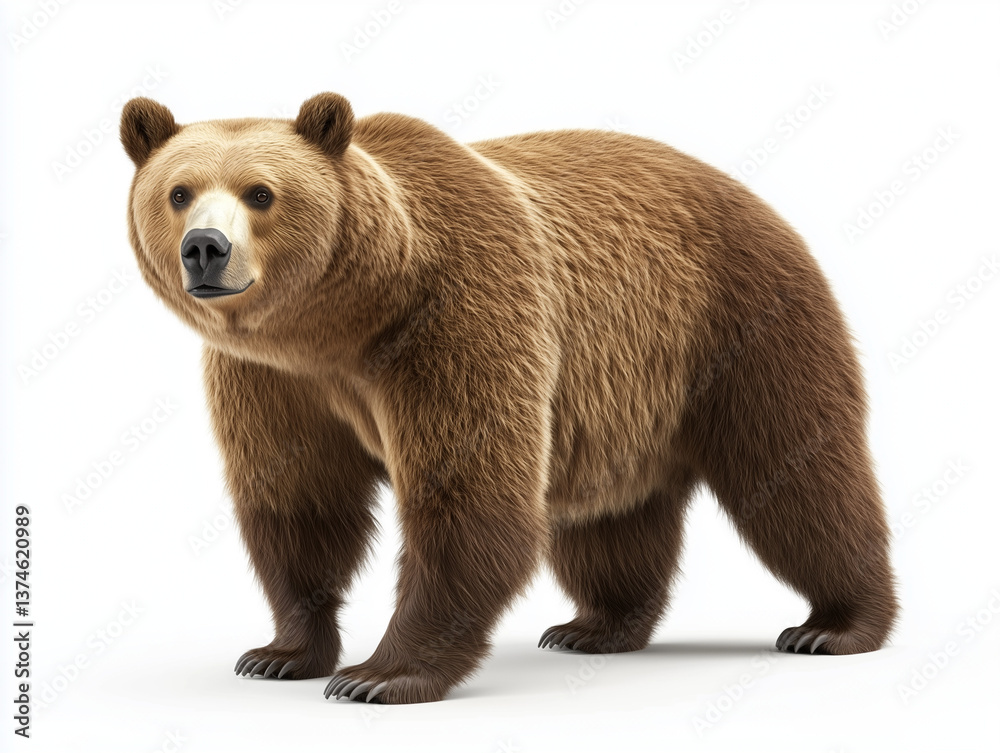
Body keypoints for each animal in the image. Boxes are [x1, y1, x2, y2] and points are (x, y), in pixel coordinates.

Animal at [120, 92, 898, 704]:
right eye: (178, 191)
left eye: (261, 192)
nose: (206, 248)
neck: (342, 323)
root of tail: (756, 198)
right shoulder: (274, 380)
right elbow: (300, 501)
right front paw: (280, 653)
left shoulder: (457, 315)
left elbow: (466, 497)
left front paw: (379, 674)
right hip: (624, 402)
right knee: (610, 522)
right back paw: (594, 626)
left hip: (741, 325)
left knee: (799, 477)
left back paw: (834, 625)